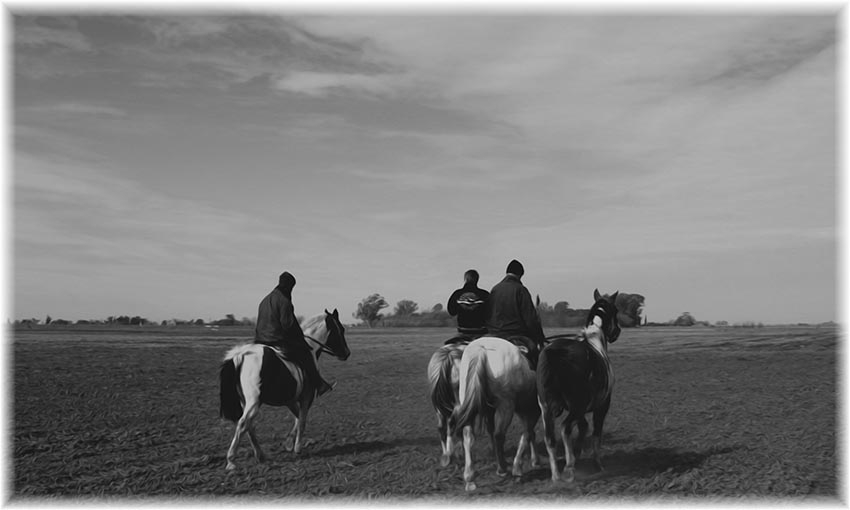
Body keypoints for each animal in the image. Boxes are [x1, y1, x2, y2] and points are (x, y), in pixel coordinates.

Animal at [222, 306, 352, 470]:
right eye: (340, 329)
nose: (347, 353)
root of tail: (242, 354)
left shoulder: (290, 401)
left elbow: (297, 418)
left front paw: (289, 444)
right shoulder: (306, 398)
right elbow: (302, 421)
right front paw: (297, 448)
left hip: (245, 402)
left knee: (249, 426)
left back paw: (260, 455)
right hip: (253, 402)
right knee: (243, 423)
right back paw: (231, 460)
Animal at [448, 334, 540, 490]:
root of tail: (481, 350)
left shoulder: (492, 409)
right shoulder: (533, 410)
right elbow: (528, 433)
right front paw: (521, 467)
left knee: (468, 434)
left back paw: (469, 477)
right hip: (506, 405)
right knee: (499, 435)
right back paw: (502, 469)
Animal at [532, 288, 620, 484]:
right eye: (616, 311)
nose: (617, 332)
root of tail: (553, 352)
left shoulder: (580, 411)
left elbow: (583, 428)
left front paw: (578, 454)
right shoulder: (602, 406)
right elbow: (595, 434)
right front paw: (597, 465)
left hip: (546, 408)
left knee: (550, 438)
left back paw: (556, 475)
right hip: (575, 407)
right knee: (565, 428)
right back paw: (569, 467)